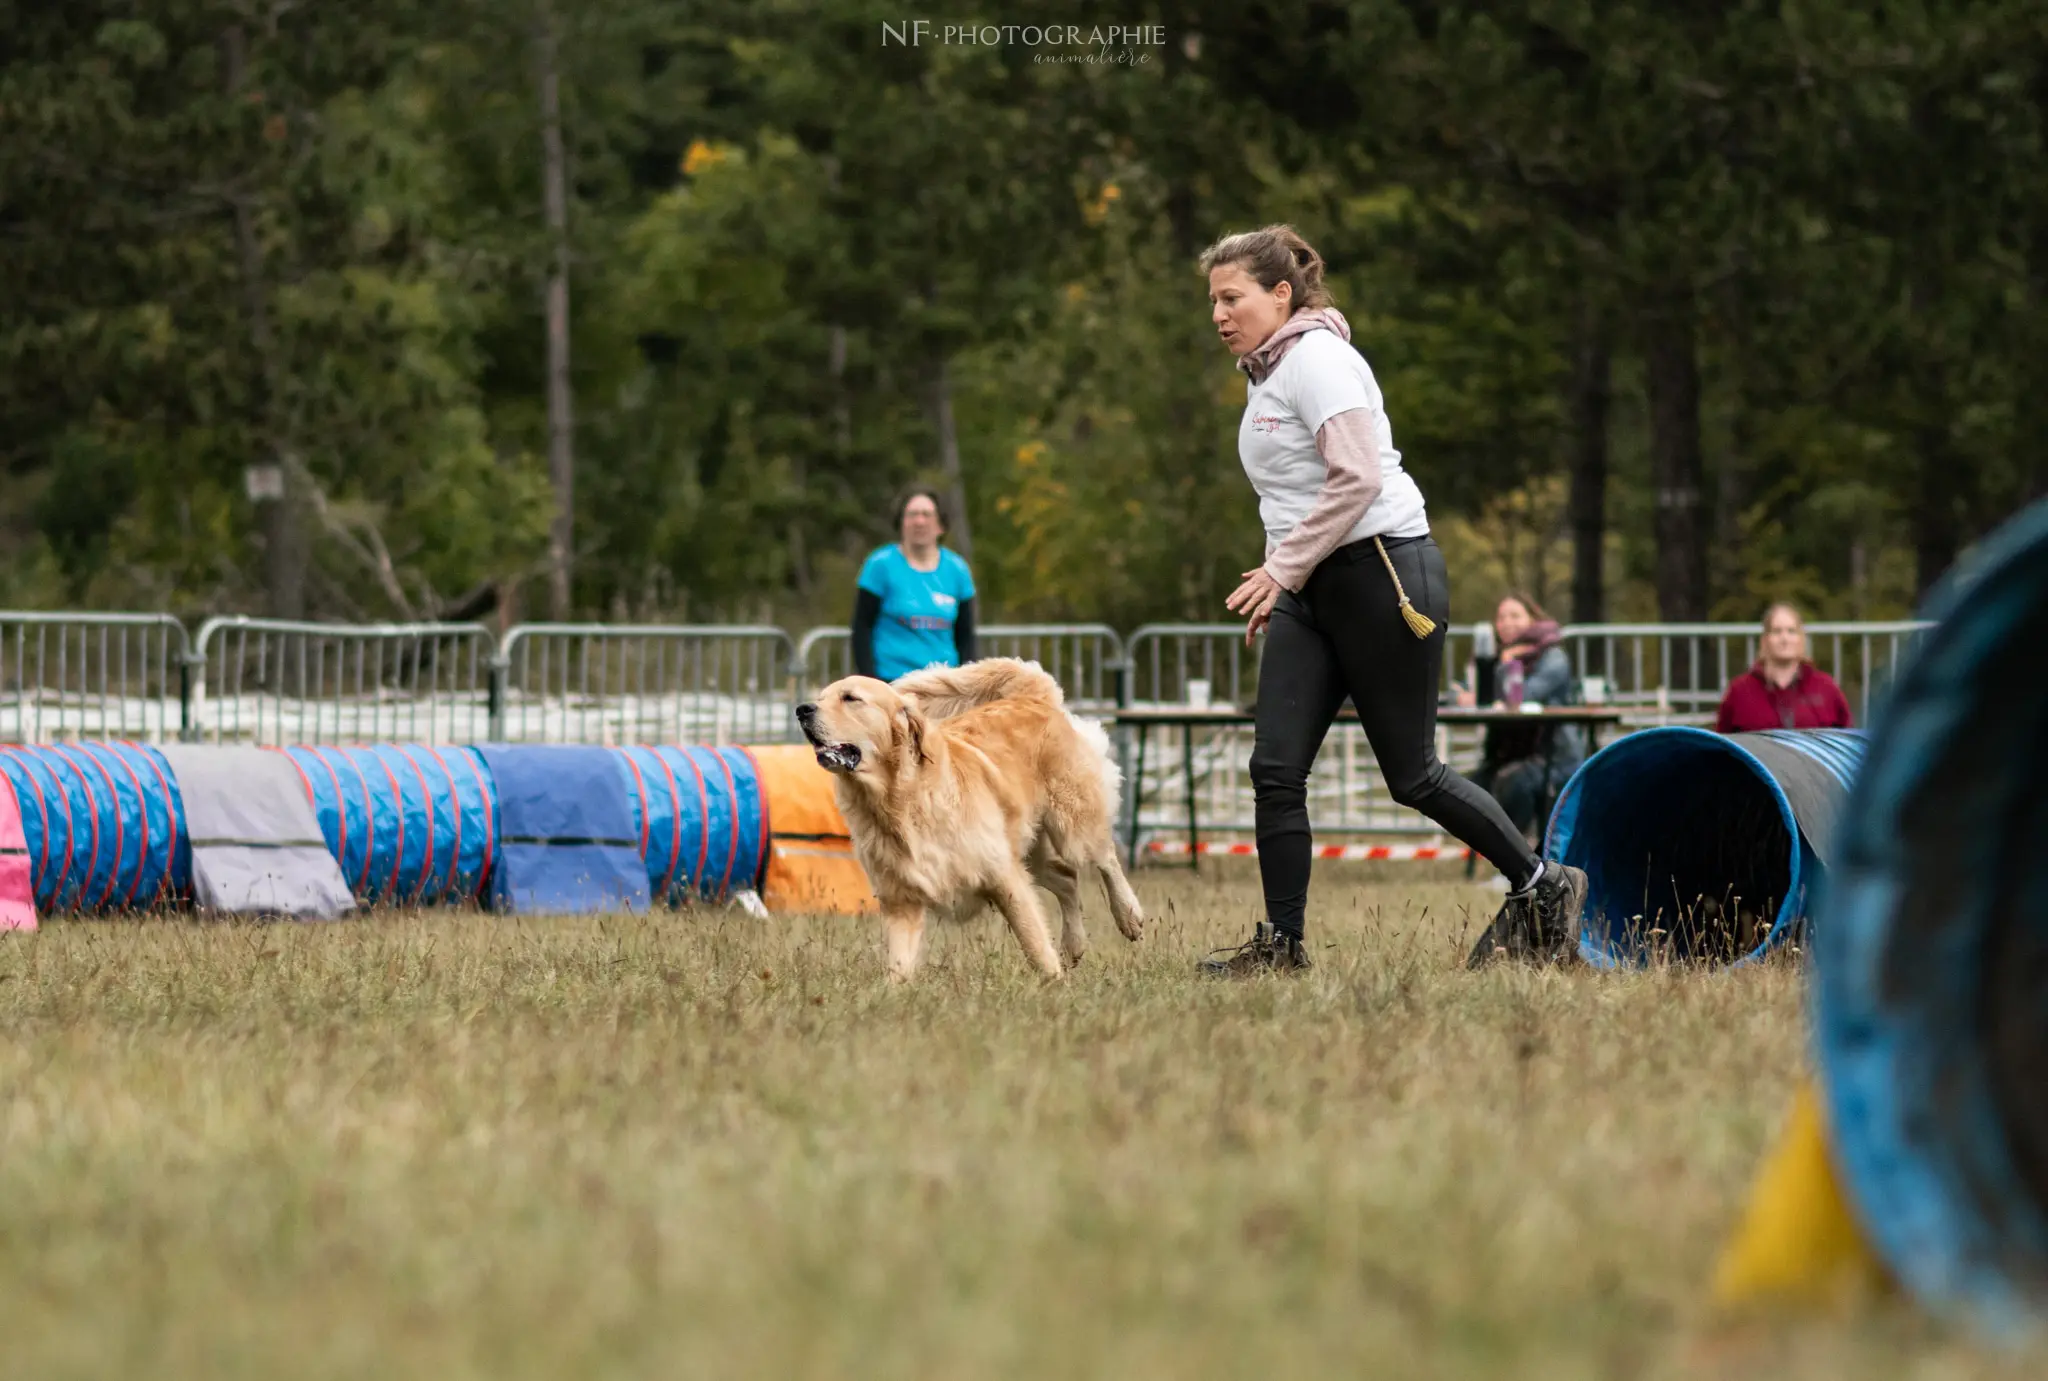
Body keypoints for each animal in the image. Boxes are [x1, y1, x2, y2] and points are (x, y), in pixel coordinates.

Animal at [794, 659, 1146, 975]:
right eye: (822, 697)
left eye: (851, 698)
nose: (802, 709)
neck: (898, 800)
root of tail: (1032, 695)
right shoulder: (901, 901)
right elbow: (898, 966)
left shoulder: (1004, 877)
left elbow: (1034, 943)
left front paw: (1054, 984)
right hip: (1030, 852)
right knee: (1068, 880)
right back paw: (1073, 945)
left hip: (1072, 829)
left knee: (1106, 858)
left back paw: (1129, 916)